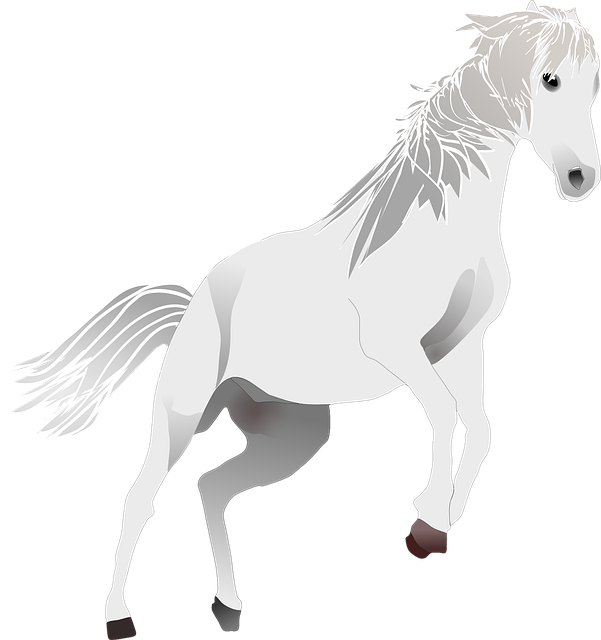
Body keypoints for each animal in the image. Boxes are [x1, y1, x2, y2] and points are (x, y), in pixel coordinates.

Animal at [3, 3, 599, 637]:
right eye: (549, 80)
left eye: (592, 87)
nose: (581, 180)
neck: (439, 228)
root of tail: (193, 305)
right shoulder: (399, 347)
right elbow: (442, 414)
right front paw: (424, 523)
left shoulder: (461, 347)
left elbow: (482, 429)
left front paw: (439, 522)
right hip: (182, 411)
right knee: (141, 496)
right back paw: (119, 616)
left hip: (291, 434)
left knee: (212, 488)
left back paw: (229, 605)